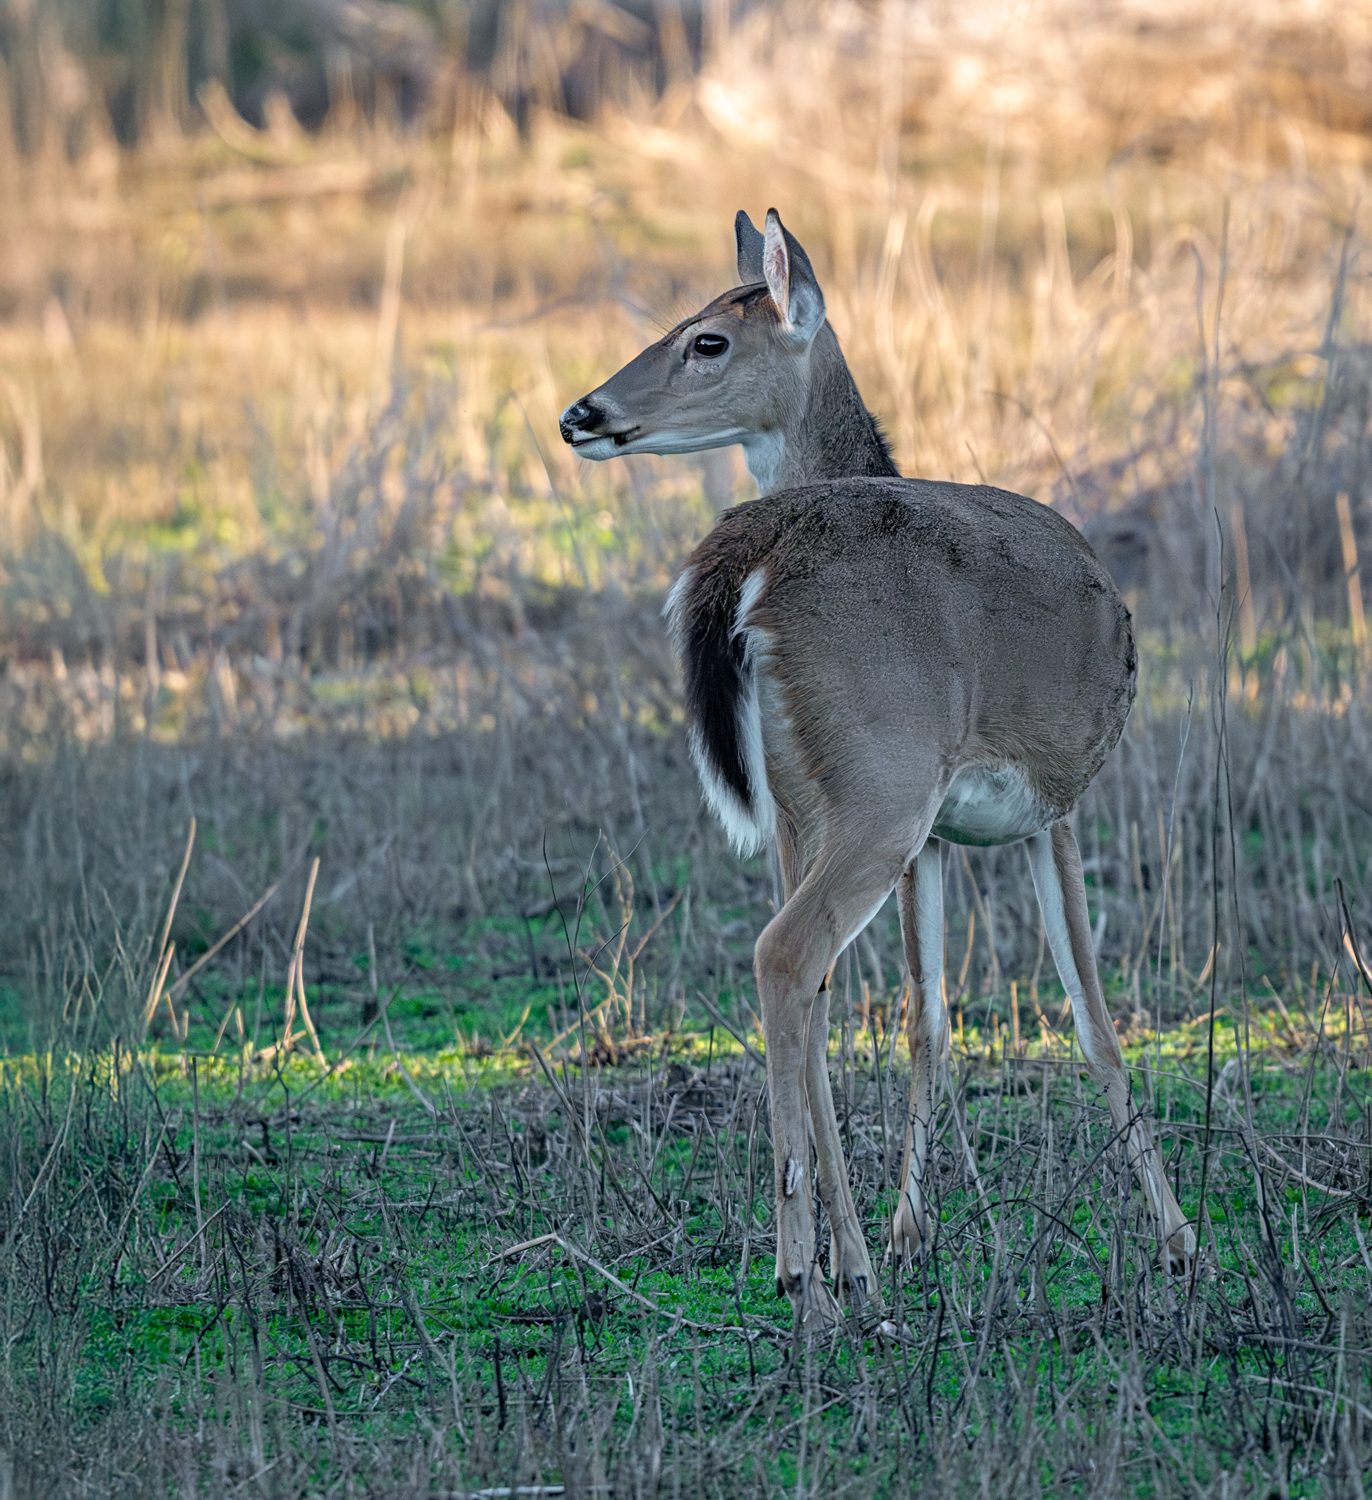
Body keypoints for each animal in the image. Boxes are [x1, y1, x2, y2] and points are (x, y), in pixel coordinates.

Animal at [557, 211, 1193, 1326]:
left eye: (708, 339)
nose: (578, 414)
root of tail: (752, 555)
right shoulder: (1055, 800)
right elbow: (1095, 1019)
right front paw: (1177, 1240)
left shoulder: (938, 835)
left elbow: (924, 1020)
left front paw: (902, 1236)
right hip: (882, 786)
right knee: (785, 955)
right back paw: (802, 1278)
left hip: (811, 803)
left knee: (806, 980)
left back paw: (839, 1268)